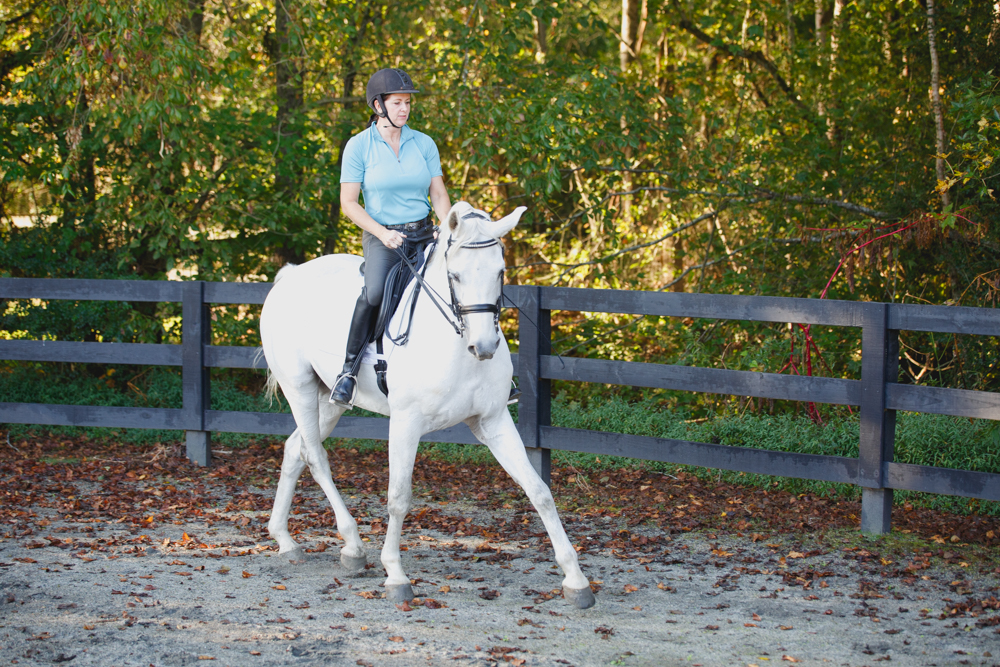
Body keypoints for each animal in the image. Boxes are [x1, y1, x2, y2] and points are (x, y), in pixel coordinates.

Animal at [262, 201, 596, 608]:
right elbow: (398, 497)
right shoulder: (406, 422)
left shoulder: (493, 421)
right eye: (455, 275)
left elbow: (540, 492)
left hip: (330, 400)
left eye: (500, 272)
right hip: (299, 389)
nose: (484, 347)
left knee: (295, 449)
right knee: (315, 456)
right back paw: (352, 546)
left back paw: (287, 541)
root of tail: (290, 276)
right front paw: (395, 575)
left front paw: (576, 580)